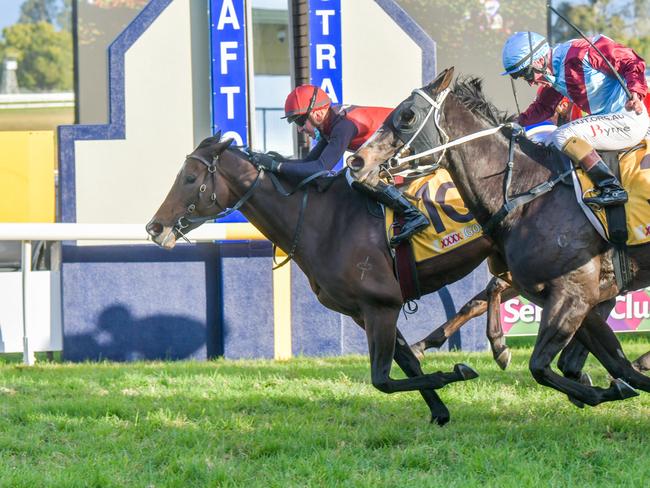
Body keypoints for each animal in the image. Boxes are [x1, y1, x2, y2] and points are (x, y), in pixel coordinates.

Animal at [144, 132, 512, 424]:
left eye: (190, 177)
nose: (154, 227)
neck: (322, 221)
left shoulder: (382, 306)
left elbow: (382, 379)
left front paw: (454, 373)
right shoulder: (364, 312)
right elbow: (406, 362)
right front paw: (439, 410)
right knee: (495, 290)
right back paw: (496, 345)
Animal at [350, 66, 648, 406]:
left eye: (408, 115)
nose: (357, 160)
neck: (526, 188)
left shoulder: (576, 292)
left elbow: (543, 365)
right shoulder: (577, 296)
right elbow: (610, 364)